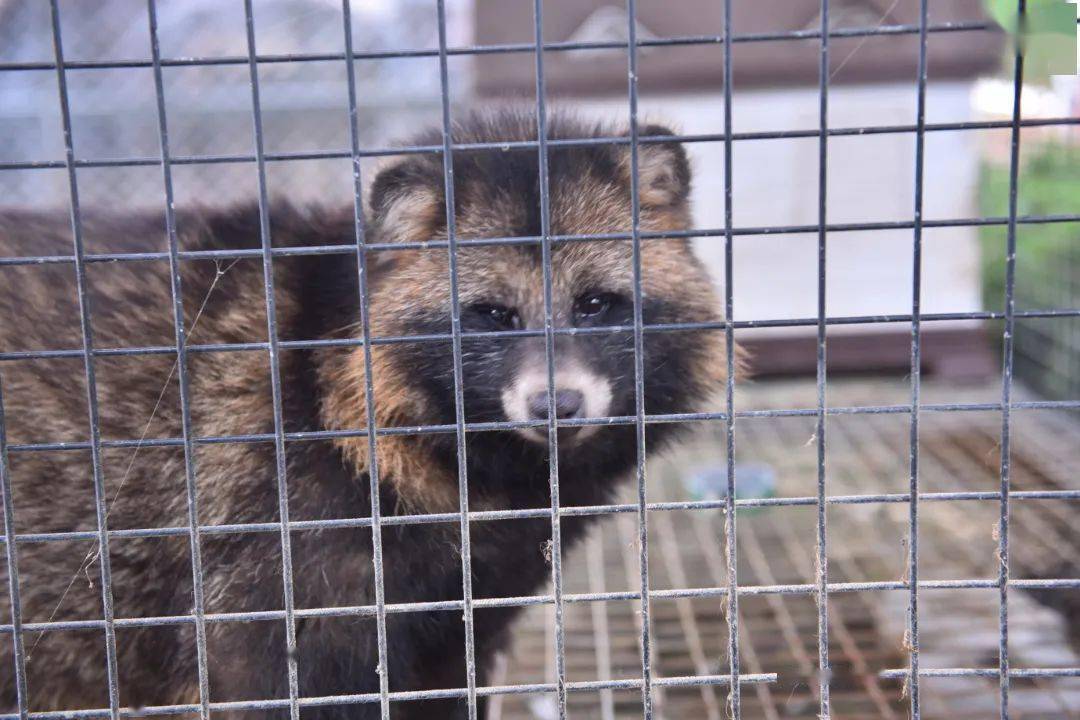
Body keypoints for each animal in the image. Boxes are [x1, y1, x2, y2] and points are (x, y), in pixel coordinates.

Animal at [0, 110, 730, 716]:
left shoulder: (465, 607)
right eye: (494, 314)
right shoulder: (276, 544)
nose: (558, 404)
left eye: (594, 304)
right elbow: (270, 682)